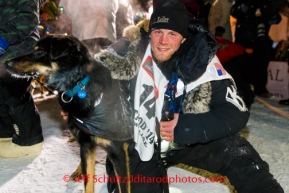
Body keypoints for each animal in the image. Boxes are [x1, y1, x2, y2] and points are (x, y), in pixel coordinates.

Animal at [5, 35, 134, 193]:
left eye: (39, 51)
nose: (6, 63)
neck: (78, 85)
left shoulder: (118, 152)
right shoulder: (86, 143)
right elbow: (88, 181)